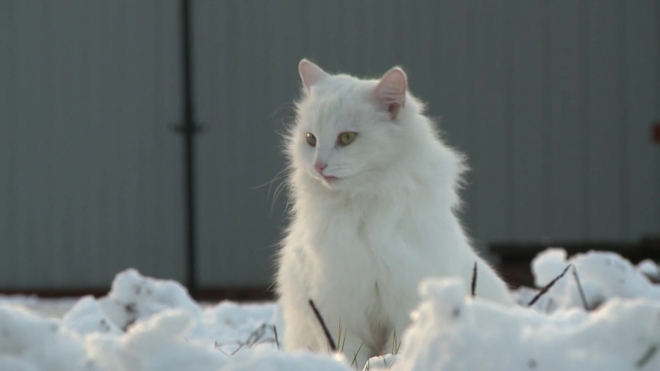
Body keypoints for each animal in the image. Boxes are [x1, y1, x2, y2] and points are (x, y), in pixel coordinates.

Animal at [276, 59, 512, 368]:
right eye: (310, 139)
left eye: (347, 138)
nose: (319, 166)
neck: (361, 206)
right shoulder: (337, 306)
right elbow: (347, 352)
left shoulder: (405, 301)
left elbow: (399, 349)